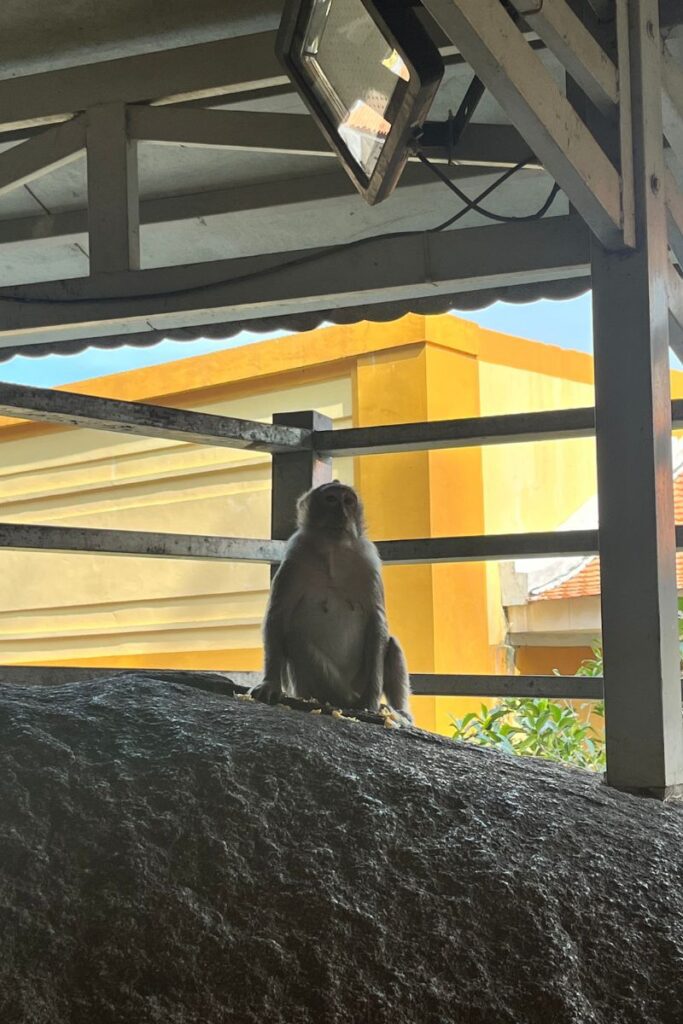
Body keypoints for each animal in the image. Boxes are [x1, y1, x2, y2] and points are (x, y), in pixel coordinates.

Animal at [250, 480, 412, 720]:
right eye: (331, 500)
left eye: (348, 501)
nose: (342, 513)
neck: (333, 548)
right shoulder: (295, 559)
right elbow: (277, 615)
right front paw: (270, 683)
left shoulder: (368, 561)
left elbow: (377, 620)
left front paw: (371, 699)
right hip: (305, 687)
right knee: (296, 638)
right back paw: (345, 701)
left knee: (390, 644)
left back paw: (396, 710)